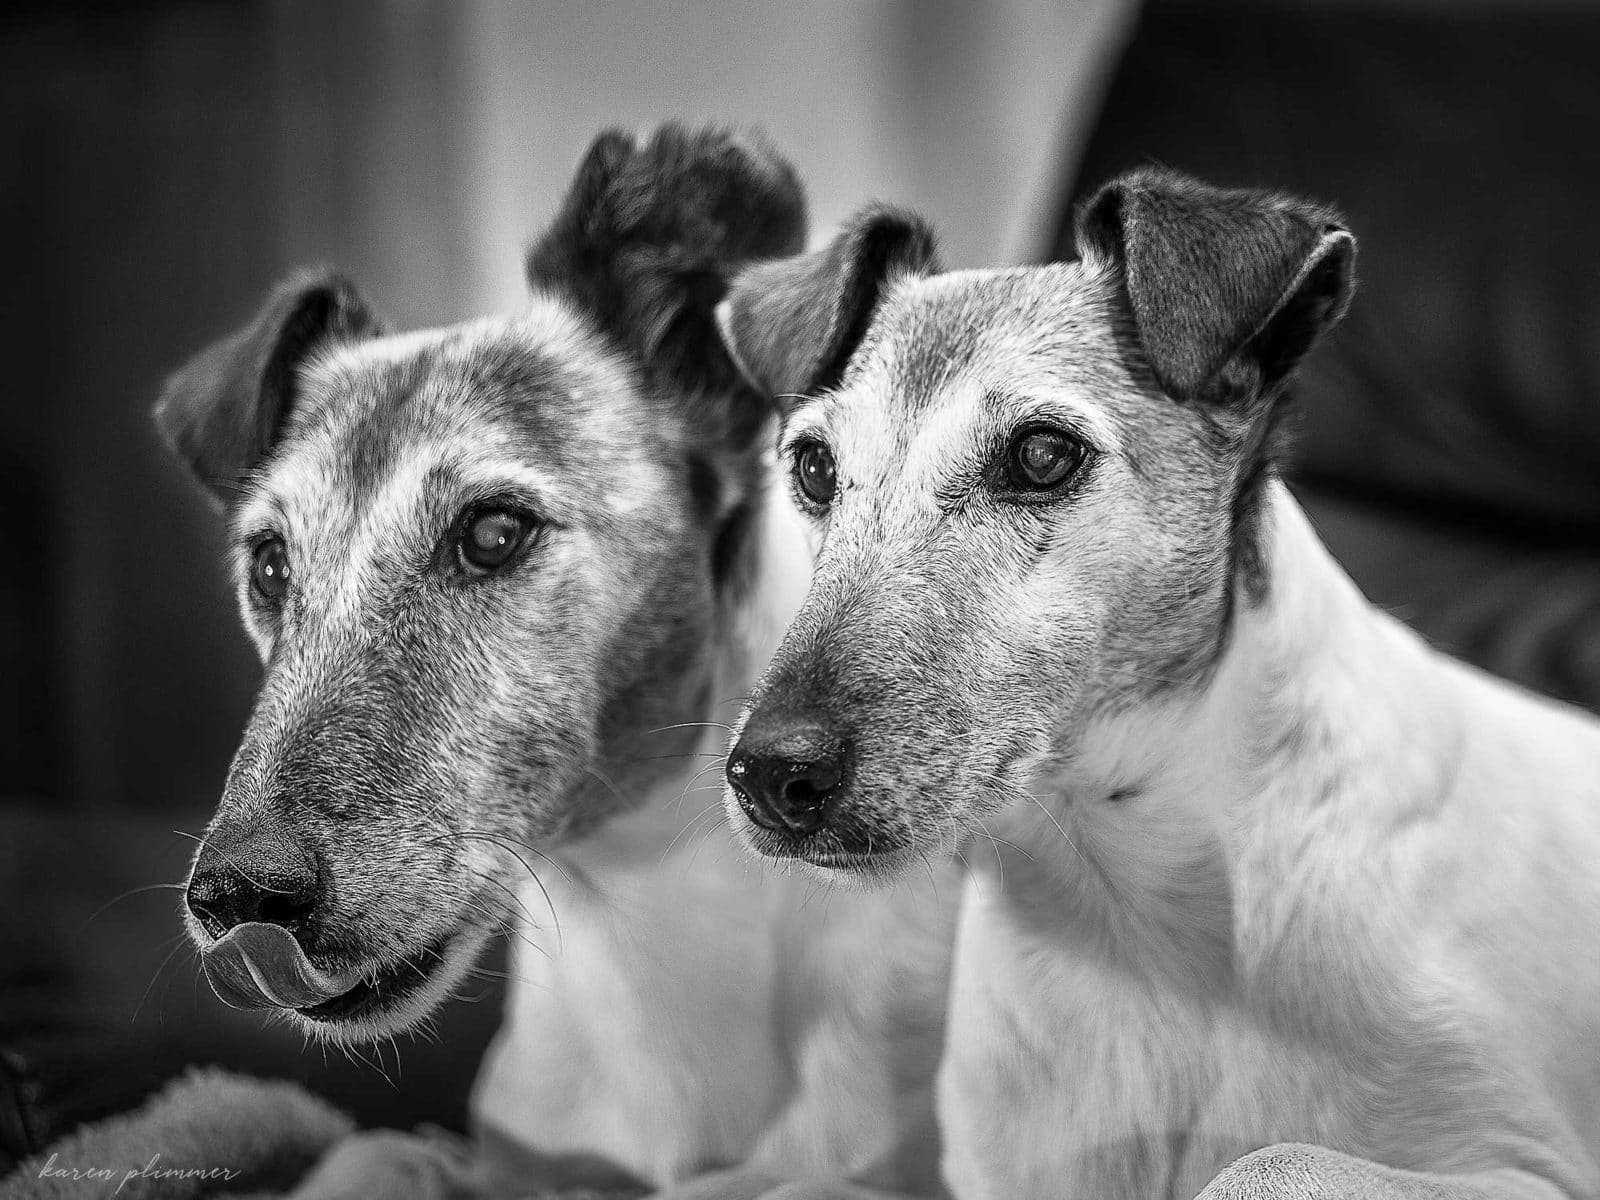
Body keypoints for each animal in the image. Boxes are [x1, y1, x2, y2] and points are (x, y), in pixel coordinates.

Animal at [720, 169, 1600, 1200]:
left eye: (1042, 454)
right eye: (814, 467)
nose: (770, 778)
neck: (1131, 904)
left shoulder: (1523, 1165)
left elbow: (1267, 1157)